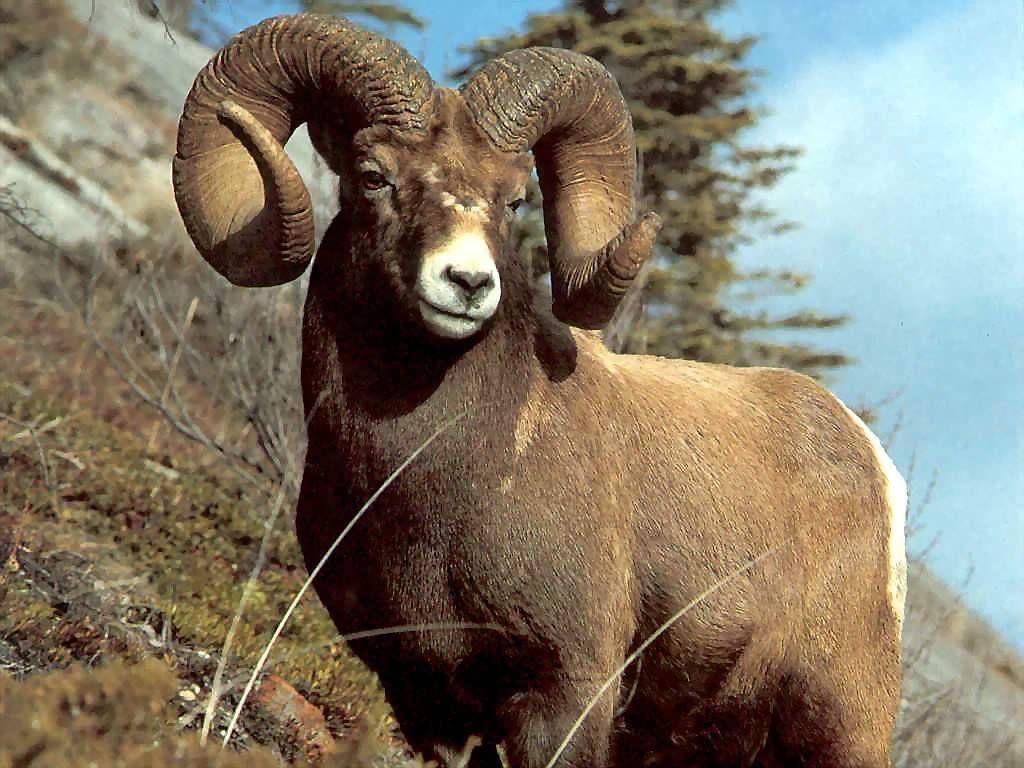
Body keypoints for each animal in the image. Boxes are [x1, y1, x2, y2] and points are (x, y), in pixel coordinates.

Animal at [172, 13, 907, 768]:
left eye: (515, 198)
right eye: (373, 176)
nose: (467, 282)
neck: (431, 485)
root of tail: (872, 462)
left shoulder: (563, 698)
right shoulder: (427, 704)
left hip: (839, 726)